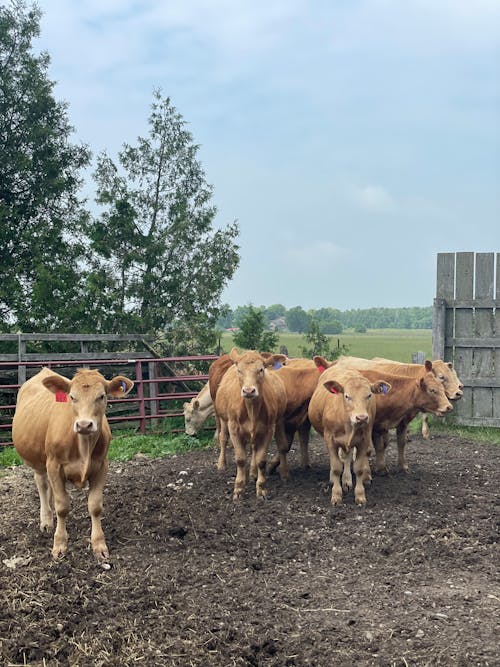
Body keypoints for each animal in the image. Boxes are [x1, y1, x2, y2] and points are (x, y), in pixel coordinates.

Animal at [13, 368, 134, 560]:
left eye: (101, 396)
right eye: (71, 396)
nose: (84, 425)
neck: (83, 445)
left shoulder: (101, 466)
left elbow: (95, 506)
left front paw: (99, 545)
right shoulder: (54, 465)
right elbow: (62, 506)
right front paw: (59, 544)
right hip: (39, 461)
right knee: (42, 484)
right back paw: (46, 521)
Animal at [213, 352, 288, 498]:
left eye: (261, 370)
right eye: (239, 370)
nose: (248, 391)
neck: (251, 409)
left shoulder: (268, 430)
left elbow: (261, 460)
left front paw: (261, 488)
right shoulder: (234, 428)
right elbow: (241, 459)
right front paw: (239, 488)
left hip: (277, 421)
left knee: (258, 448)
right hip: (223, 420)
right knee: (223, 438)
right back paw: (222, 464)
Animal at [308, 366, 390, 506]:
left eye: (369, 395)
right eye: (347, 396)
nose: (361, 417)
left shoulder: (363, 440)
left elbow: (358, 468)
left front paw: (360, 495)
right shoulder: (330, 440)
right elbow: (336, 467)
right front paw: (336, 495)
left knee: (346, 456)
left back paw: (347, 481)